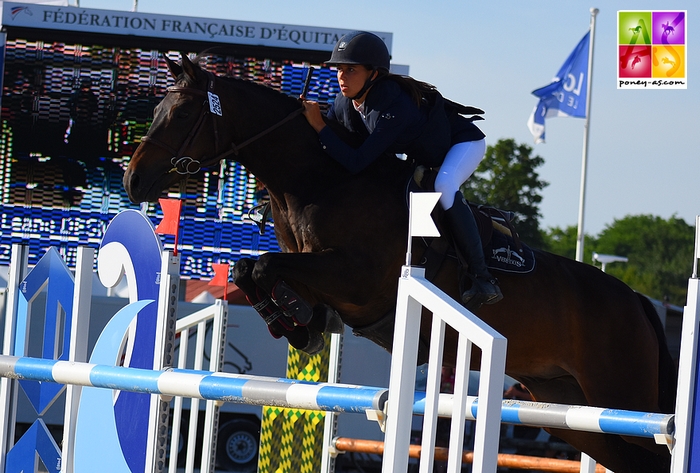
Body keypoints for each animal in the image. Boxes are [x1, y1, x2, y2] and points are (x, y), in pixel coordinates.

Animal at [124, 53, 680, 470]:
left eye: (180, 115)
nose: (133, 181)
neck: (318, 180)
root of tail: (637, 300)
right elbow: (248, 268)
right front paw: (298, 323)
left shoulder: (357, 279)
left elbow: (263, 267)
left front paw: (298, 320)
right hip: (567, 406)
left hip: (624, 395)